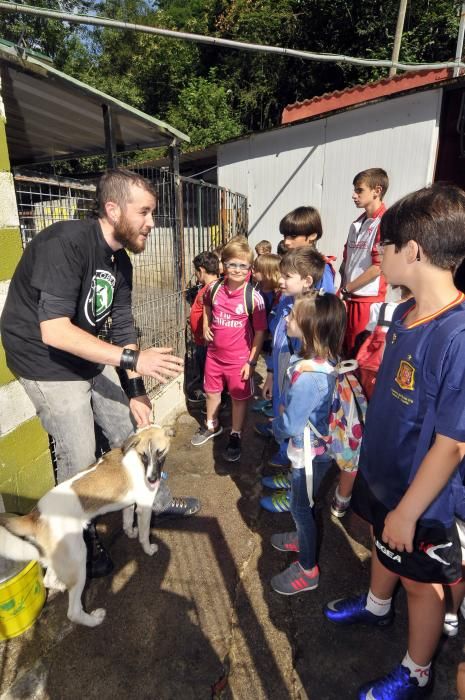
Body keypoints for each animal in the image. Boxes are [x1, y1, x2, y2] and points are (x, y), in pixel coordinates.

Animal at [0, 426, 172, 628]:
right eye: (144, 455)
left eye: (159, 452)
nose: (151, 480)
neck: (136, 460)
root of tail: (34, 516)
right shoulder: (145, 507)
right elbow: (144, 534)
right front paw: (149, 549)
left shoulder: (128, 503)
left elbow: (127, 520)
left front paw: (130, 532)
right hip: (79, 556)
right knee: (73, 611)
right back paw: (93, 620)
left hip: (61, 558)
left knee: (49, 580)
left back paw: (61, 585)